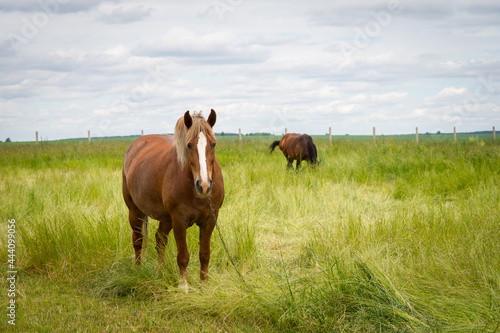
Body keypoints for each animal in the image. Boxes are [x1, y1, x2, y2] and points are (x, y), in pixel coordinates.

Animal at [122, 109, 224, 290]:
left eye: (213, 144)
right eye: (189, 145)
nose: (204, 185)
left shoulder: (210, 220)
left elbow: (204, 254)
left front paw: (204, 286)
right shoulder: (179, 221)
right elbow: (183, 256)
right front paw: (183, 287)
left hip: (165, 219)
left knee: (160, 240)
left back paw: (159, 274)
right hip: (135, 211)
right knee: (138, 240)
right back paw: (138, 271)